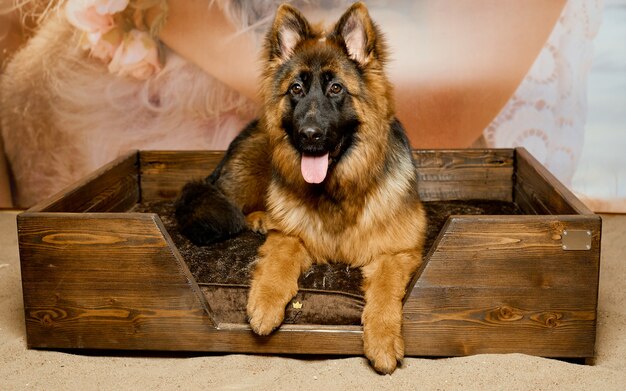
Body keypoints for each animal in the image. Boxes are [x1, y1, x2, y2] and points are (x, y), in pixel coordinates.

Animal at [178, 3, 426, 376]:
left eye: (336, 89)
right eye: (296, 89)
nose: (309, 135)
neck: (335, 192)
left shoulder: (397, 251)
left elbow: (384, 287)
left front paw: (382, 340)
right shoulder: (290, 234)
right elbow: (281, 256)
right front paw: (265, 304)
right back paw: (258, 218)